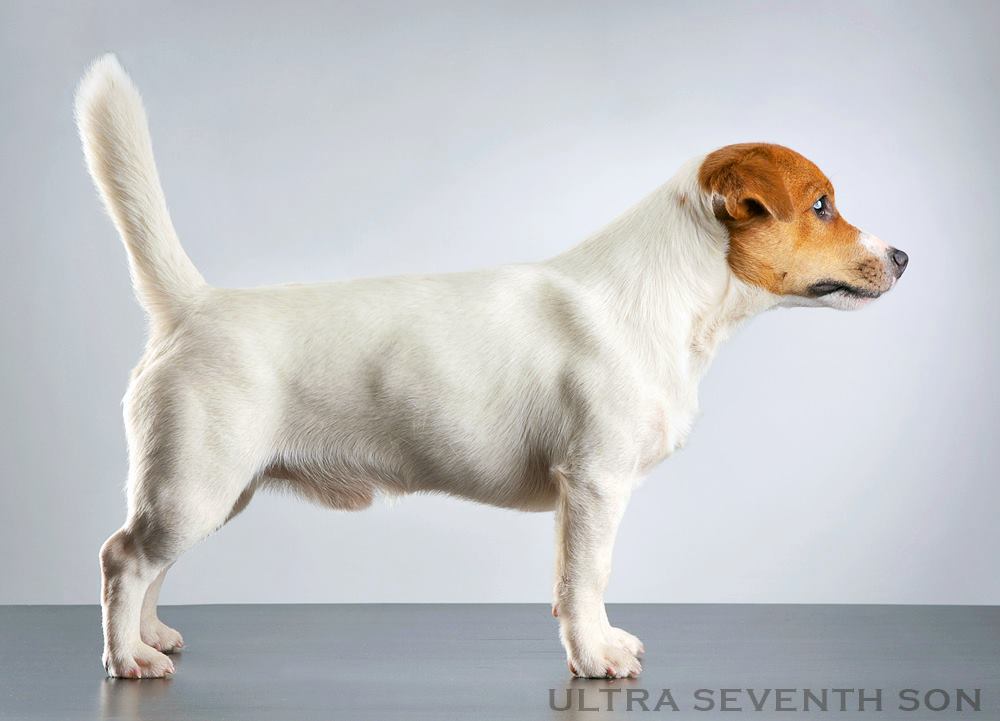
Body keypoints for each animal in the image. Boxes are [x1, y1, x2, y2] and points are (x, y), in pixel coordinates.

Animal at [75, 54, 907, 679]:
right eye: (823, 205)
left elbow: (570, 582)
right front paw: (595, 656)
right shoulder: (597, 482)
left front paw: (594, 641)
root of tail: (193, 304)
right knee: (122, 558)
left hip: (210, 490)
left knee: (151, 565)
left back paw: (152, 636)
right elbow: (588, 578)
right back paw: (128, 658)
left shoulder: (580, 497)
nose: (902, 255)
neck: (662, 295)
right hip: (196, 486)